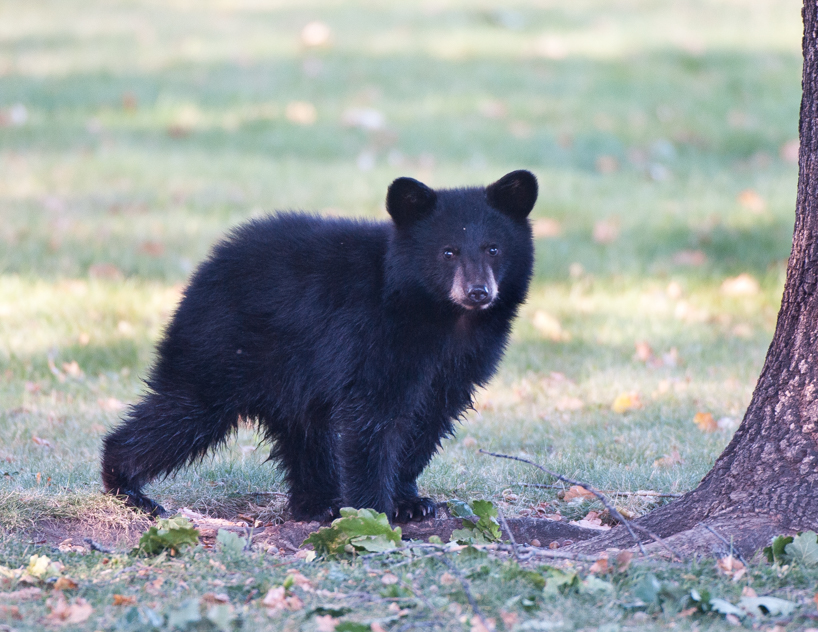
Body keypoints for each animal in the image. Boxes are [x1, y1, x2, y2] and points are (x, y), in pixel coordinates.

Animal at [101, 170, 537, 523]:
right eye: (448, 252)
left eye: (493, 249)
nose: (478, 292)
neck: (440, 317)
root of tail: (206, 265)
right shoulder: (374, 336)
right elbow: (373, 417)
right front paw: (374, 512)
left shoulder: (464, 361)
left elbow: (429, 420)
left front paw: (412, 502)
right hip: (221, 345)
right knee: (184, 409)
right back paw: (127, 487)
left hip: (292, 374)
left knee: (305, 432)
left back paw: (317, 504)